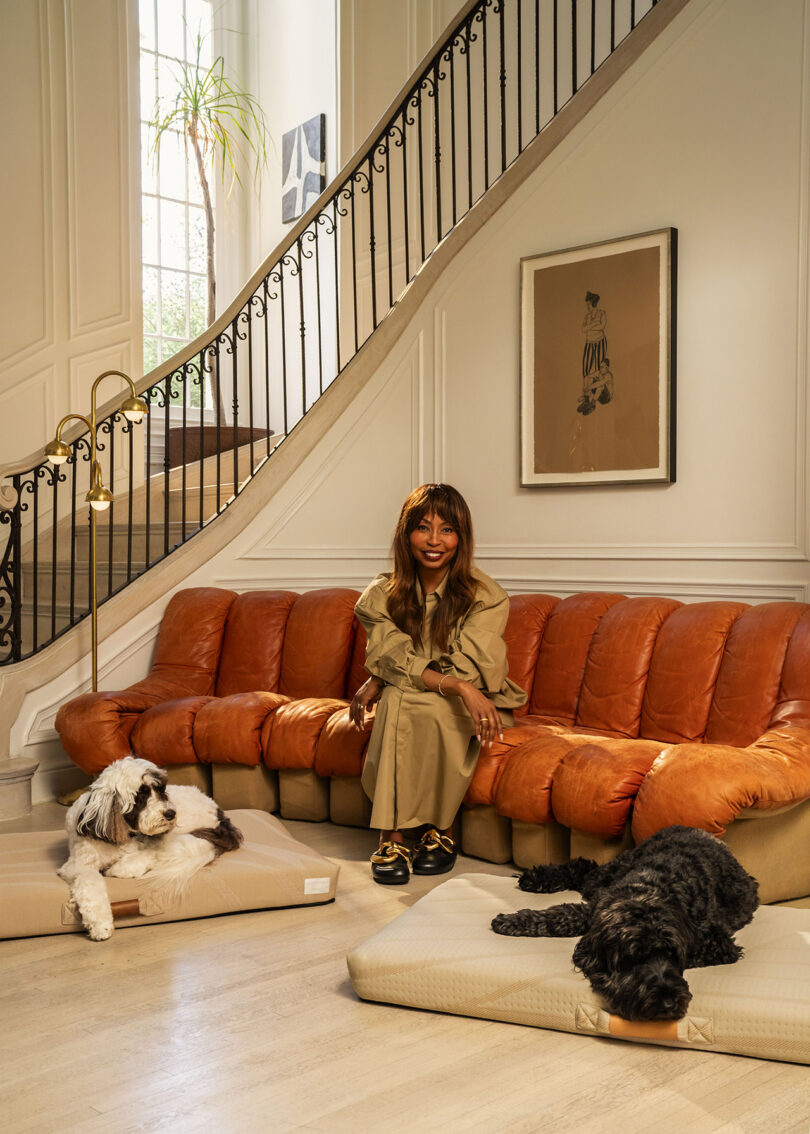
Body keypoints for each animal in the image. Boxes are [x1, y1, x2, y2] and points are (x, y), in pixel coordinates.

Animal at [58, 752, 241, 938]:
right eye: (141, 795)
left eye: (161, 790)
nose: (170, 813)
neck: (124, 833)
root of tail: (218, 812)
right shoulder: (79, 865)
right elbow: (90, 883)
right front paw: (100, 925)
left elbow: (147, 855)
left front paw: (118, 869)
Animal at [490, 825, 762, 1020]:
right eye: (634, 957)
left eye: (672, 955)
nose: (668, 1003)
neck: (649, 890)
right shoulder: (595, 910)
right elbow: (558, 915)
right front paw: (511, 921)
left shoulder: (718, 943)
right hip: (608, 874)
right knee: (584, 867)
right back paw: (536, 878)